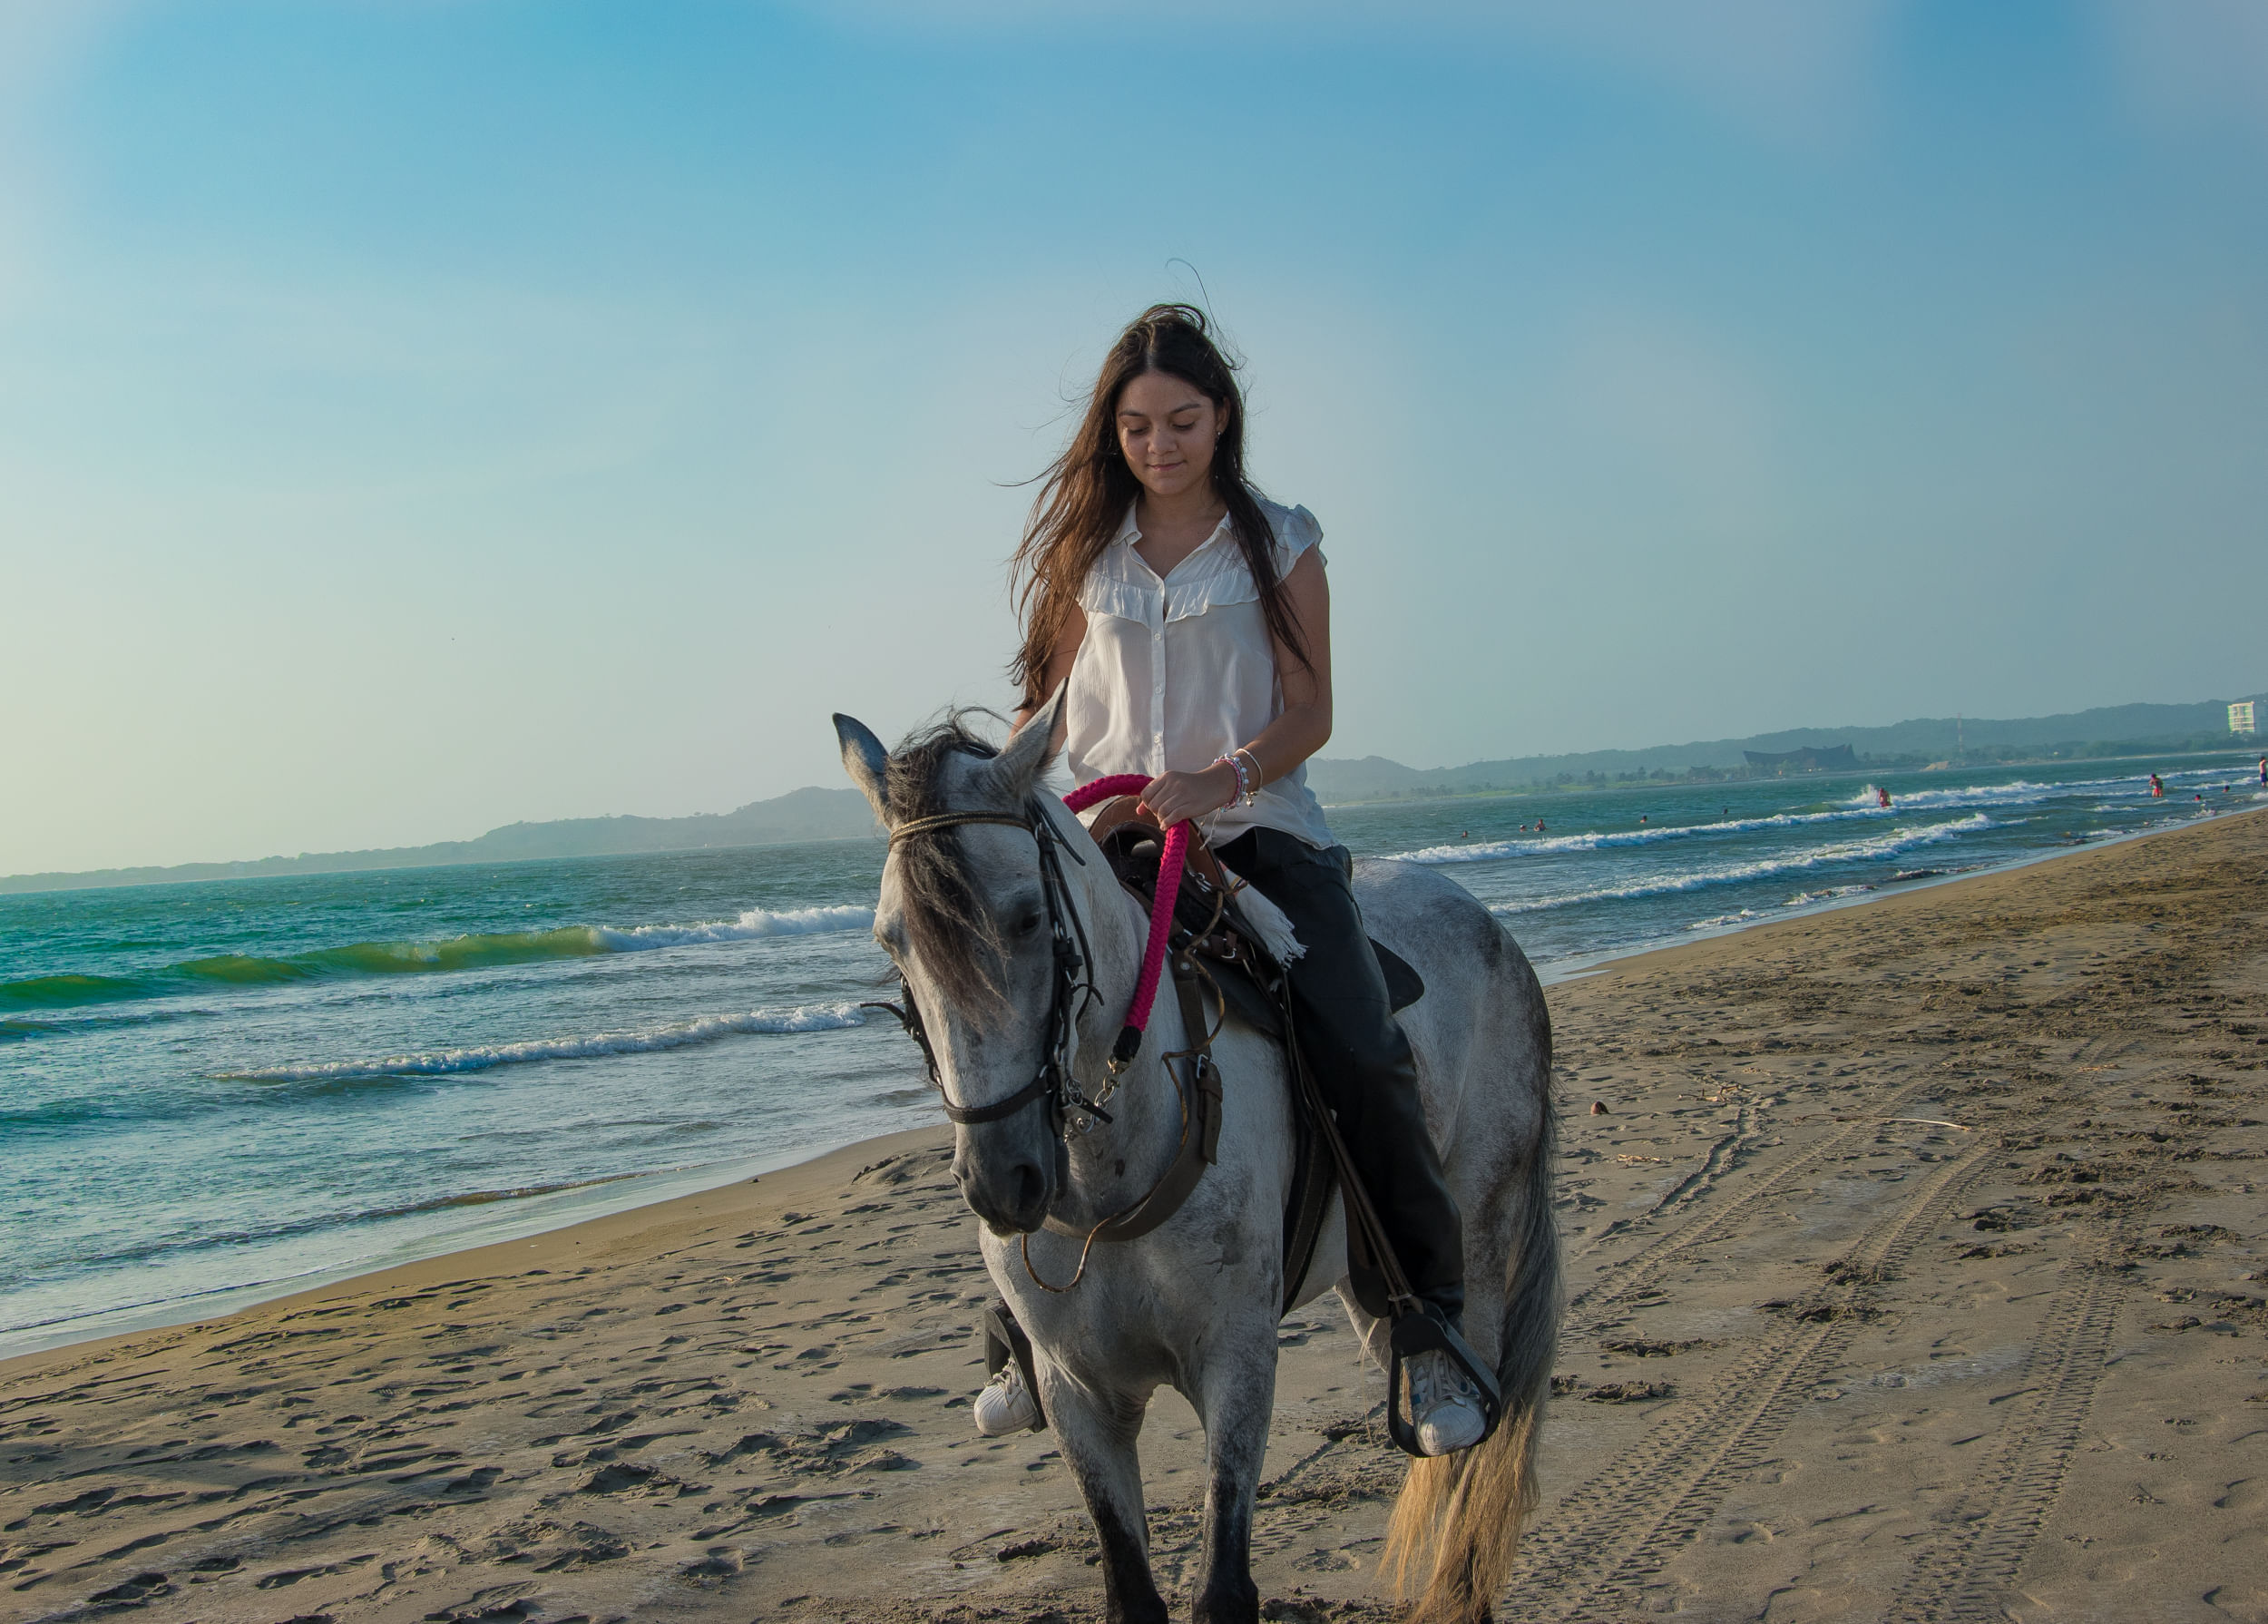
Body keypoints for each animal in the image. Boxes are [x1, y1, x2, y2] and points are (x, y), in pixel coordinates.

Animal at [834, 690, 1559, 1624]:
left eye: (1028, 916)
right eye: (893, 941)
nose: (1003, 1181)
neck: (1106, 1170)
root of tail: (1481, 915)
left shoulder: (1235, 1364)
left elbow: (1223, 1587)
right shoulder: (1078, 1398)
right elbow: (1130, 1587)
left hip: (1487, 1225)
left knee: (1479, 1440)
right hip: (1362, 1275)